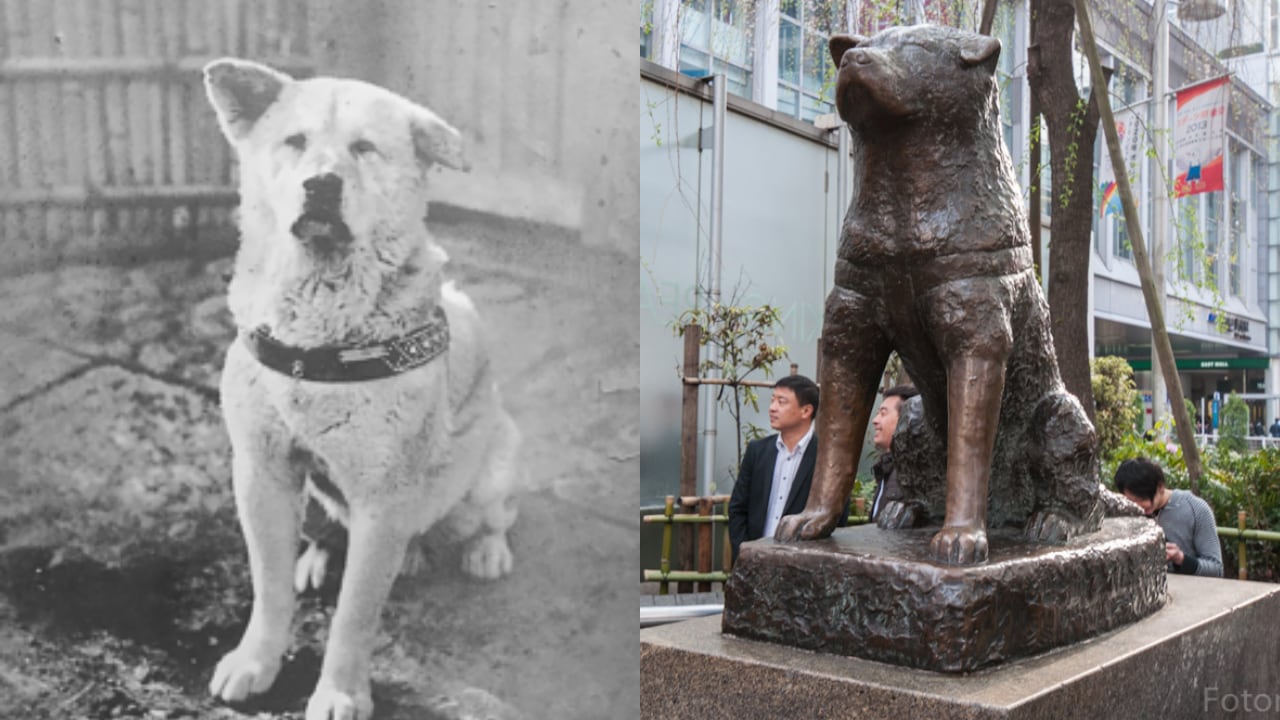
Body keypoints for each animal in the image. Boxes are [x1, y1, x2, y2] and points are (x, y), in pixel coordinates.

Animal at [202, 57, 517, 717]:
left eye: (365, 148)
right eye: (294, 141)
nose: (321, 185)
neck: (319, 337)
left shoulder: (383, 499)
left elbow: (354, 615)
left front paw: (340, 693)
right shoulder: (261, 474)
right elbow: (269, 587)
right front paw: (255, 662)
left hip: (488, 474)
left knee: (493, 514)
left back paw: (485, 551)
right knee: (327, 532)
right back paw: (324, 558)